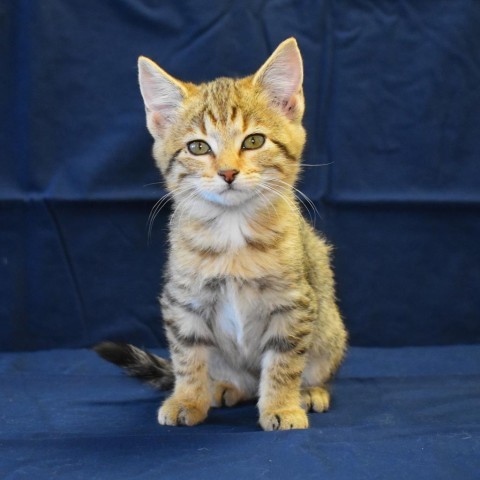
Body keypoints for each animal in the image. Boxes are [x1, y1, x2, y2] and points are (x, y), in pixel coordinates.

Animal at [94, 37, 348, 432]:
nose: (228, 172)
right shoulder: (182, 301)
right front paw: (187, 398)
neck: (233, 232)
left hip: (330, 326)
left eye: (254, 141)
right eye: (198, 147)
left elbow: (284, 361)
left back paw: (309, 391)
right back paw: (225, 386)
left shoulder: (294, 303)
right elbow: (187, 356)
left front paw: (281, 405)